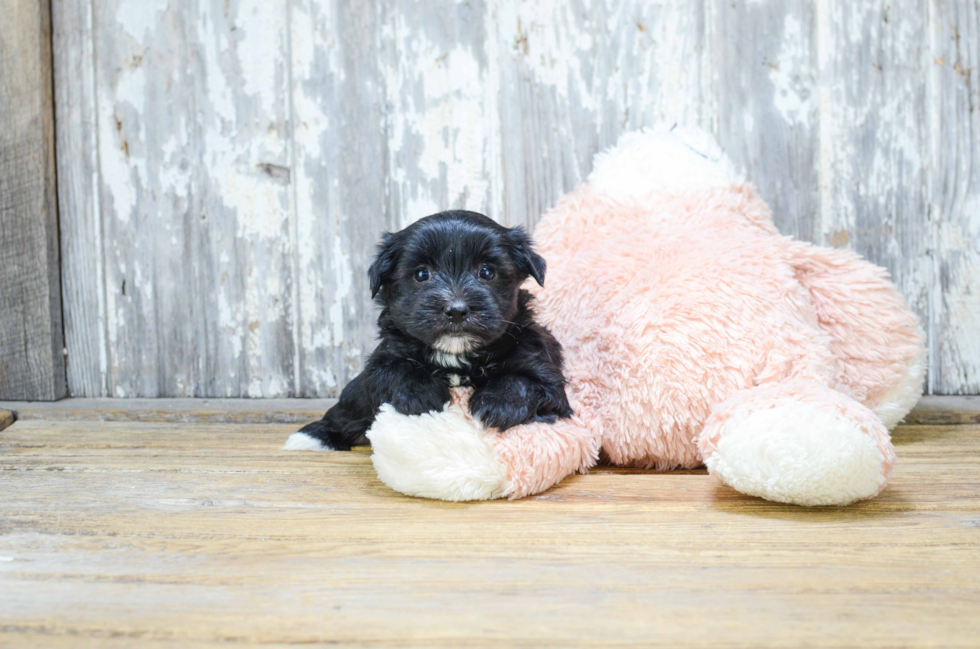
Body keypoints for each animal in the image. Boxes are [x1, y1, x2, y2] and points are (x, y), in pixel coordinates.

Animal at [288, 210, 572, 448]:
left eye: (487, 272)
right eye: (422, 274)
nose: (456, 310)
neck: (457, 356)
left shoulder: (542, 369)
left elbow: (526, 381)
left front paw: (497, 404)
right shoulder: (383, 358)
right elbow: (392, 370)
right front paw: (422, 394)